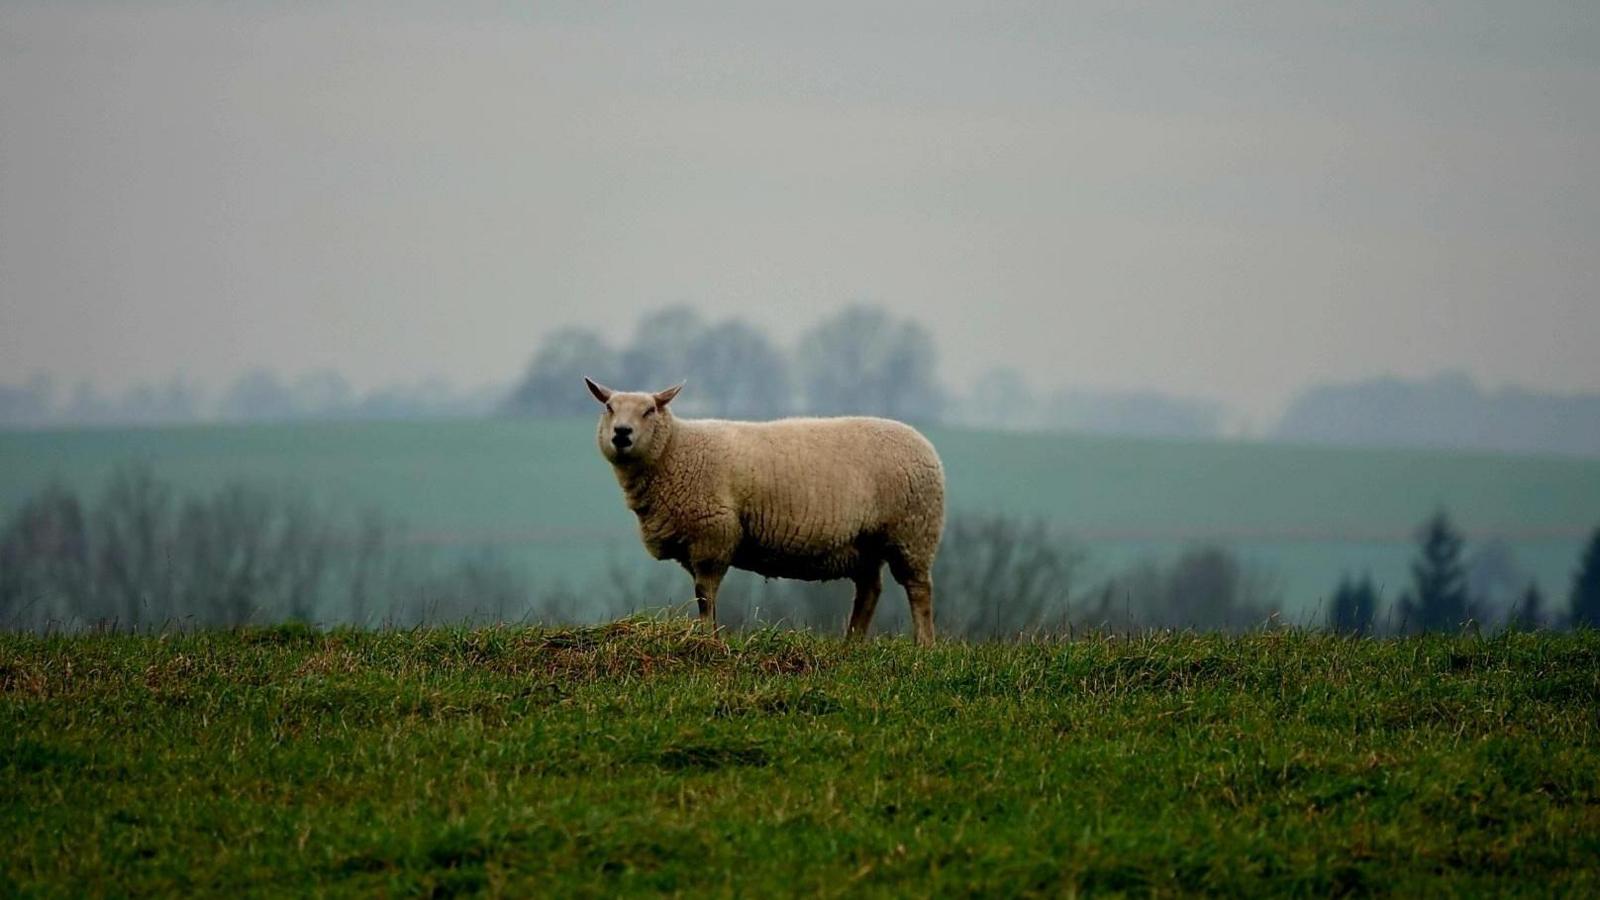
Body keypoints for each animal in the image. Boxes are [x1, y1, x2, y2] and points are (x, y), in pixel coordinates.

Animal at [582, 374, 940, 640]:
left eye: (650, 410)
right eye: (609, 408)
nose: (622, 434)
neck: (675, 450)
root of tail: (925, 444)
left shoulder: (713, 536)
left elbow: (704, 594)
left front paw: (708, 638)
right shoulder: (696, 542)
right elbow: (703, 596)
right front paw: (710, 635)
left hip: (912, 532)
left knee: (919, 590)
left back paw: (923, 645)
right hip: (865, 541)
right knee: (869, 591)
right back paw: (850, 644)